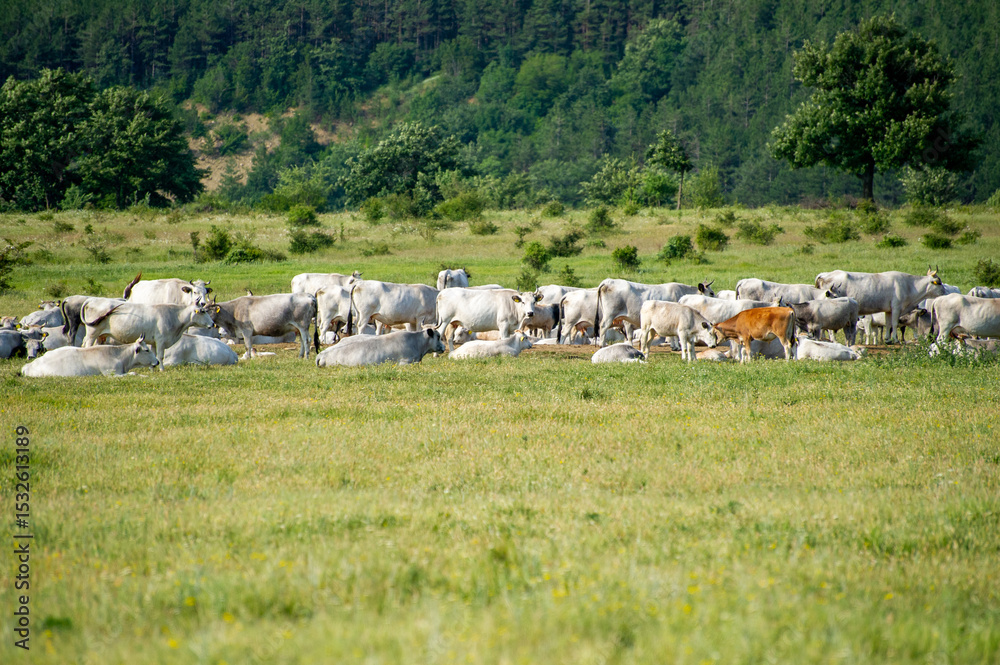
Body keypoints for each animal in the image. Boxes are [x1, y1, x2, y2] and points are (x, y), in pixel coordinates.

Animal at [81, 300, 215, 370]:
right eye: (202, 311)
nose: (213, 323)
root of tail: (91, 300)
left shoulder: (153, 342)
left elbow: (154, 355)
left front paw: (152, 368)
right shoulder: (161, 340)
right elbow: (160, 356)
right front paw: (161, 370)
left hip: (101, 336)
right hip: (92, 334)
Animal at [814, 268, 945, 343]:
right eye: (938, 282)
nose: (945, 292)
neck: (909, 285)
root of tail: (824, 274)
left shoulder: (888, 310)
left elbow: (887, 324)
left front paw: (887, 339)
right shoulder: (896, 307)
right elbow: (894, 323)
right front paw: (895, 339)